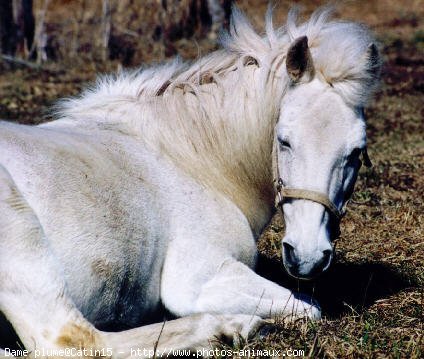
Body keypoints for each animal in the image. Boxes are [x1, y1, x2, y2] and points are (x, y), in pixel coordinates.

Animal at [0, 6, 380, 359]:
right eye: (284, 140)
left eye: (356, 152)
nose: (307, 257)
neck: (185, 158)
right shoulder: (199, 278)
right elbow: (307, 308)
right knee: (71, 340)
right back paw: (231, 327)